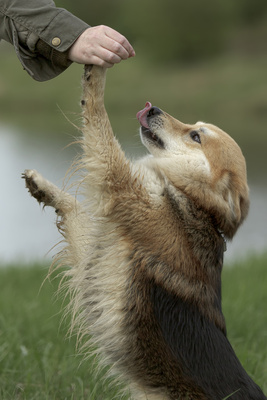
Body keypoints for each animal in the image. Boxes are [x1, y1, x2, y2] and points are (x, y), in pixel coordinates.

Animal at [22, 66, 266, 400]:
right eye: (195, 127)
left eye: (195, 136)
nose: (153, 109)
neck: (188, 198)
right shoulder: (100, 253)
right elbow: (73, 209)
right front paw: (43, 188)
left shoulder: (119, 186)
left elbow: (98, 120)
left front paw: (95, 74)